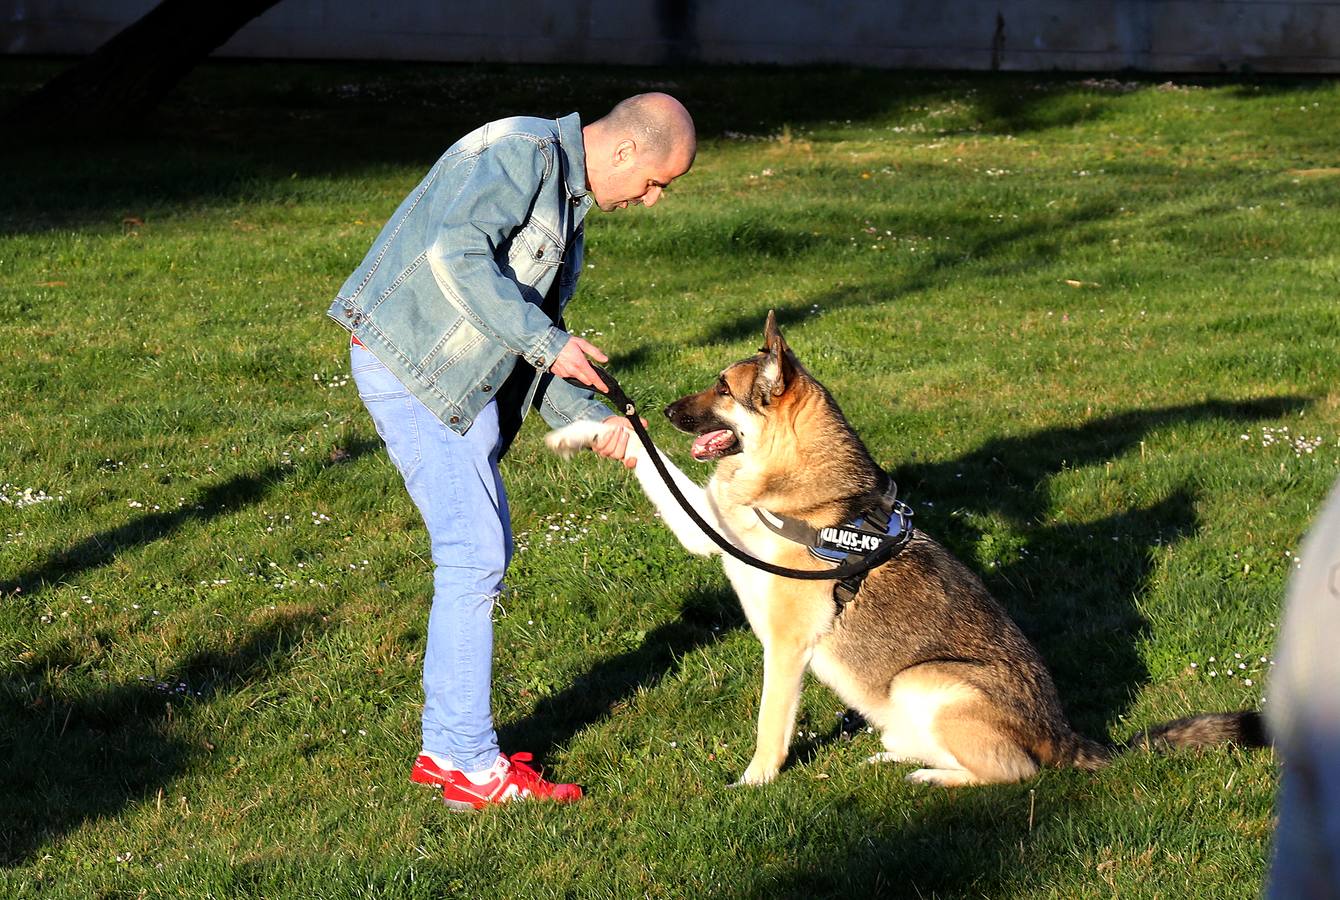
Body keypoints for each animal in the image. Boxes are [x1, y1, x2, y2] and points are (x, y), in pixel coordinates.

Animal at [541, 313, 1254, 782]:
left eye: (723, 386)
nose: (659, 408)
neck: (805, 490)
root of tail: (1068, 736)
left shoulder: (787, 647)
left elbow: (771, 726)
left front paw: (754, 783)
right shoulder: (705, 529)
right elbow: (647, 458)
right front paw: (584, 432)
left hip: (925, 680)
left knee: (1017, 772)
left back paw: (937, 775)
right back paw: (901, 753)